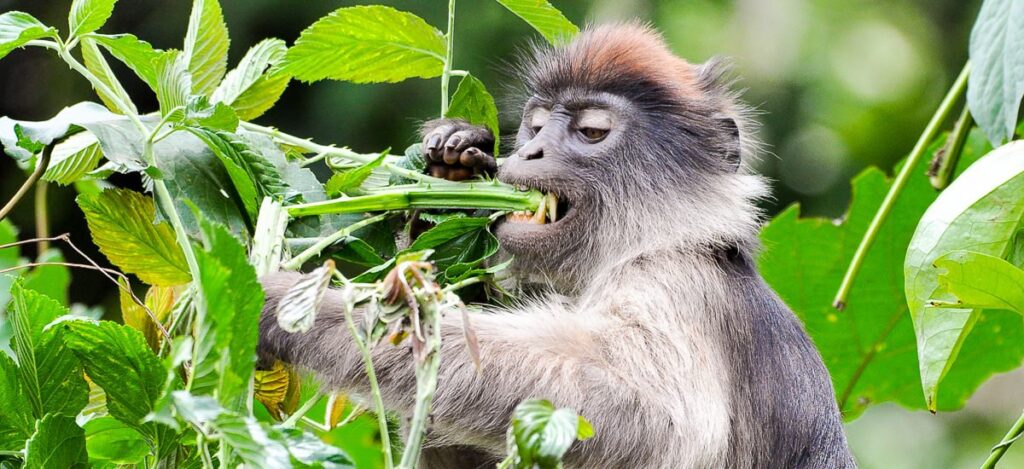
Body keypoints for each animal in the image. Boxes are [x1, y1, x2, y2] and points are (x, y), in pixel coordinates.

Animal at [258, 23, 856, 468]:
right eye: (538, 124)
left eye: (591, 131)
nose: (532, 151)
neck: (658, 240)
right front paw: (451, 163)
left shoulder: (677, 282)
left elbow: (657, 421)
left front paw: (280, 300)